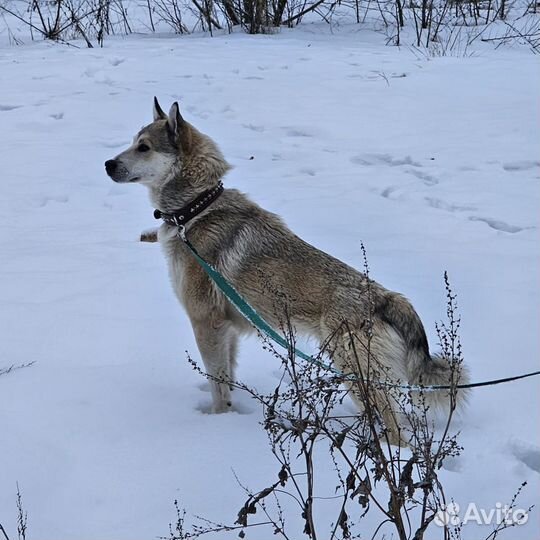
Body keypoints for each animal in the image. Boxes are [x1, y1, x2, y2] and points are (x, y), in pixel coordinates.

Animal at [105, 99, 468, 446]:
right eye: (133, 143)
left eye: (143, 147)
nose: (108, 164)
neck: (195, 208)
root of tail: (388, 298)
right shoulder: (227, 329)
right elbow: (228, 378)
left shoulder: (206, 322)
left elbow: (217, 384)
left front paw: (216, 422)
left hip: (355, 370)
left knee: (395, 431)